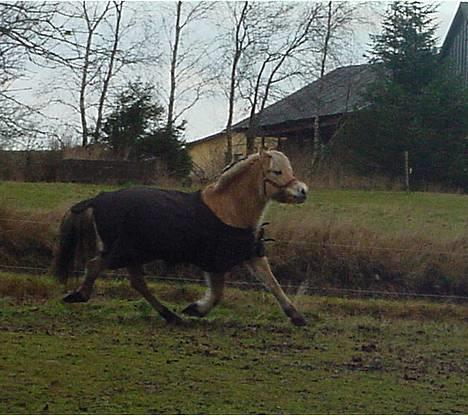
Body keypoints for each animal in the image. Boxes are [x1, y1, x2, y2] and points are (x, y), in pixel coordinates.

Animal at [54, 149, 308, 324]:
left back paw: (171, 316)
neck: (230, 210)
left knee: (137, 283)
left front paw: (297, 317)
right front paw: (196, 309)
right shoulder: (216, 263)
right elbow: (218, 293)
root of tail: (98, 199)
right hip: (121, 252)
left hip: (133, 254)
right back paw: (78, 295)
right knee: (95, 265)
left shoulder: (251, 255)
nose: (303, 191)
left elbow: (272, 283)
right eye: (276, 171)